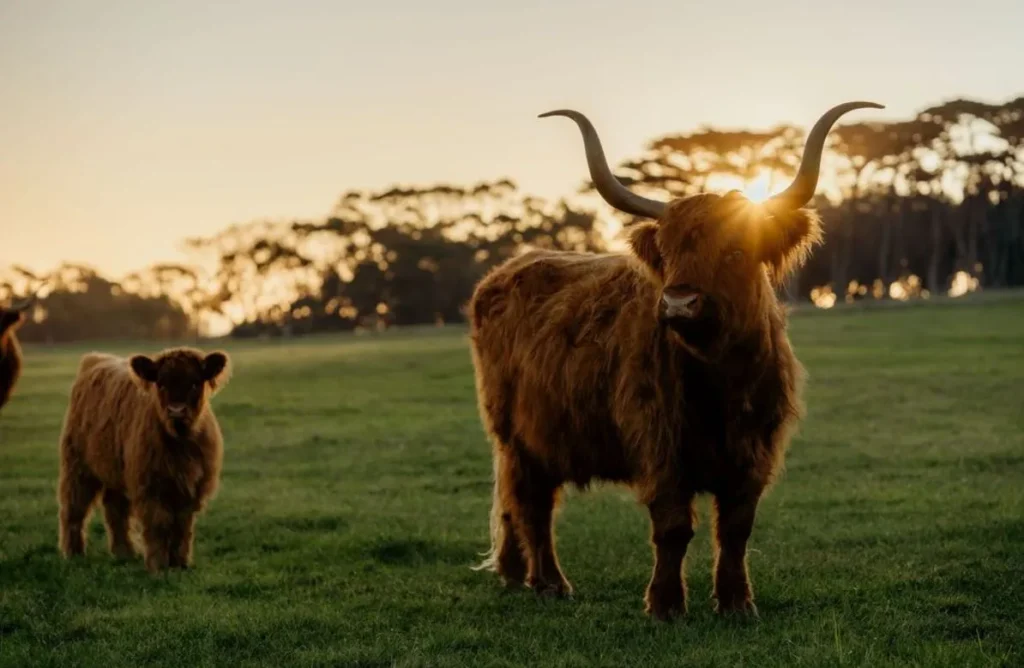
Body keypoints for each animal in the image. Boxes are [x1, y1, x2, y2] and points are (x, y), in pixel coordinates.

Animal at [58, 346, 232, 569]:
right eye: (161, 383)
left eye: (195, 383)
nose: (176, 410)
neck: (180, 442)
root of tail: (95, 358)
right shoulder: (150, 485)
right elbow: (159, 524)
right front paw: (159, 566)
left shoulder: (191, 487)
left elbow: (182, 526)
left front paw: (180, 563)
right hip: (77, 465)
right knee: (74, 507)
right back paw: (74, 553)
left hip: (116, 470)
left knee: (115, 510)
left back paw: (124, 553)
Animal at [468, 100, 884, 622]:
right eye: (665, 253)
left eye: (735, 250)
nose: (679, 304)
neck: (721, 382)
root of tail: (505, 272)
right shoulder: (660, 444)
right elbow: (672, 528)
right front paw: (665, 605)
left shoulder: (755, 453)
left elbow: (736, 529)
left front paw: (736, 603)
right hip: (519, 439)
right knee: (534, 505)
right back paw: (549, 583)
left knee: (517, 503)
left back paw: (513, 574)